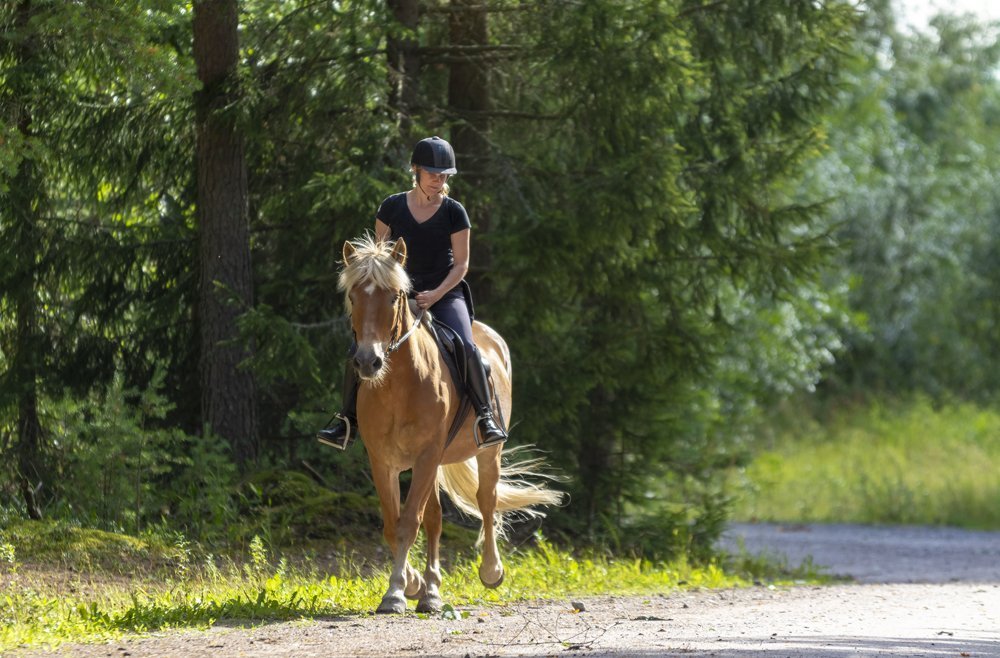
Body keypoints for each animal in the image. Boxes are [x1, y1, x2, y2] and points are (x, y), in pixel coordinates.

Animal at [340, 233, 564, 612]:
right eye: (353, 296)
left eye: (393, 296)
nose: (368, 362)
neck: (399, 385)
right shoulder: (382, 460)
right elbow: (393, 524)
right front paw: (412, 585)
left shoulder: (427, 456)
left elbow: (408, 523)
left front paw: (396, 592)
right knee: (435, 518)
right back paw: (430, 590)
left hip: (486, 452)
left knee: (486, 500)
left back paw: (490, 571)